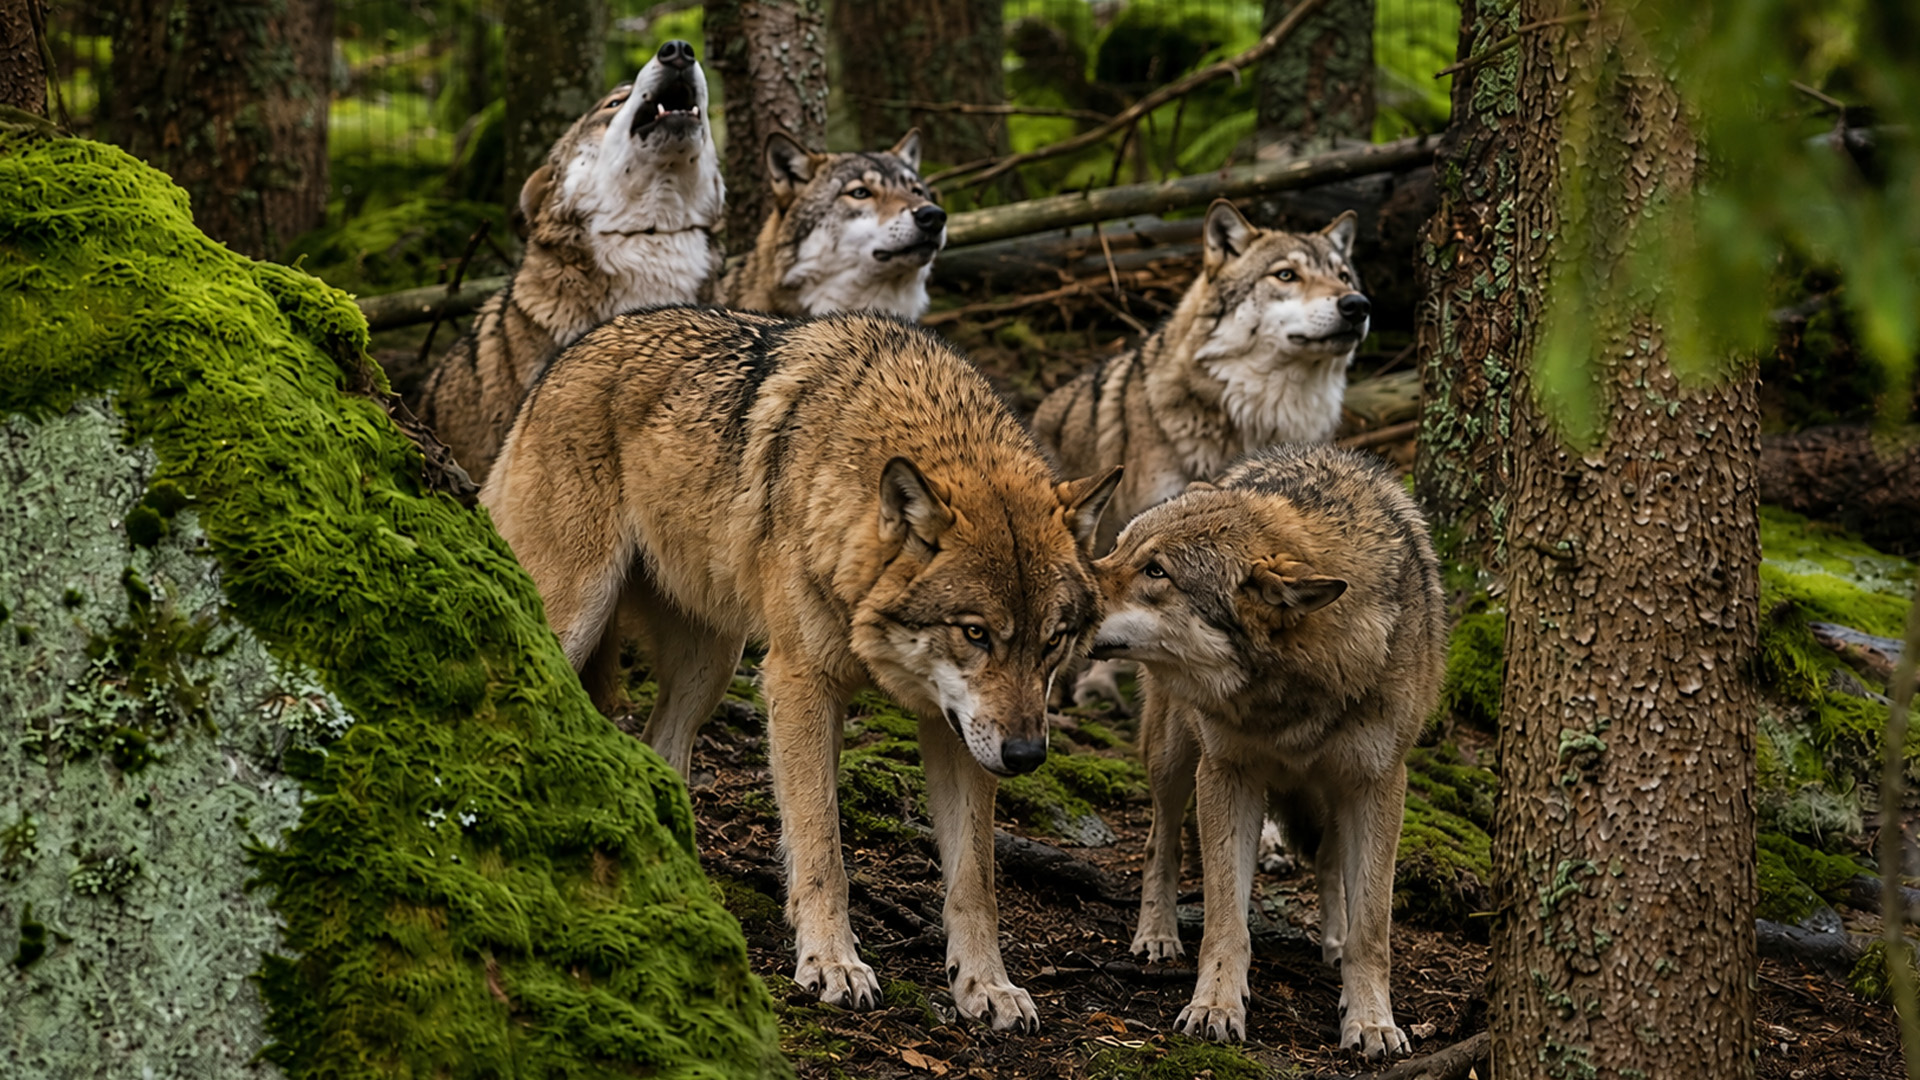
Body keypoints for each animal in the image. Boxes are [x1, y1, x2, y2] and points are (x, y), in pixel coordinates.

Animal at [480, 307, 1120, 1030]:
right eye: (976, 633)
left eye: (1052, 642)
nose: (1028, 756)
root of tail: (564, 357)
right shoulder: (800, 683)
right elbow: (821, 848)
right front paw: (832, 963)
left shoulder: (958, 730)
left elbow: (974, 878)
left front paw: (986, 983)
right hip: (575, 618)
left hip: (713, 664)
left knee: (659, 750)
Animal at [1089, 444, 1444, 1057]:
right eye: (1119, 547)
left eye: (1157, 572)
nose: (1067, 580)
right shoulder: (1226, 773)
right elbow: (1225, 916)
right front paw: (1214, 1007)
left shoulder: (1378, 783)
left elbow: (1373, 925)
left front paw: (1371, 1020)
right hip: (1173, 755)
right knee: (1161, 842)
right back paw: (1156, 935)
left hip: (1330, 793)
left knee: (1329, 863)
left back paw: (1332, 941)